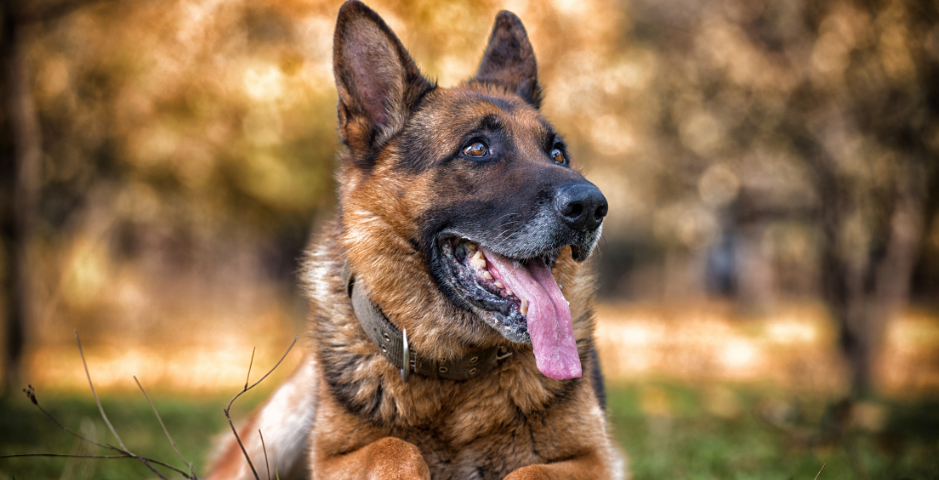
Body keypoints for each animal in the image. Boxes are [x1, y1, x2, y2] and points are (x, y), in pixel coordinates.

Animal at [209, 1, 628, 478]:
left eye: (558, 155)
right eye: (476, 149)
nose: (592, 206)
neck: (457, 377)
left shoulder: (595, 459)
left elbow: (530, 469)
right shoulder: (334, 457)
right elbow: (395, 447)